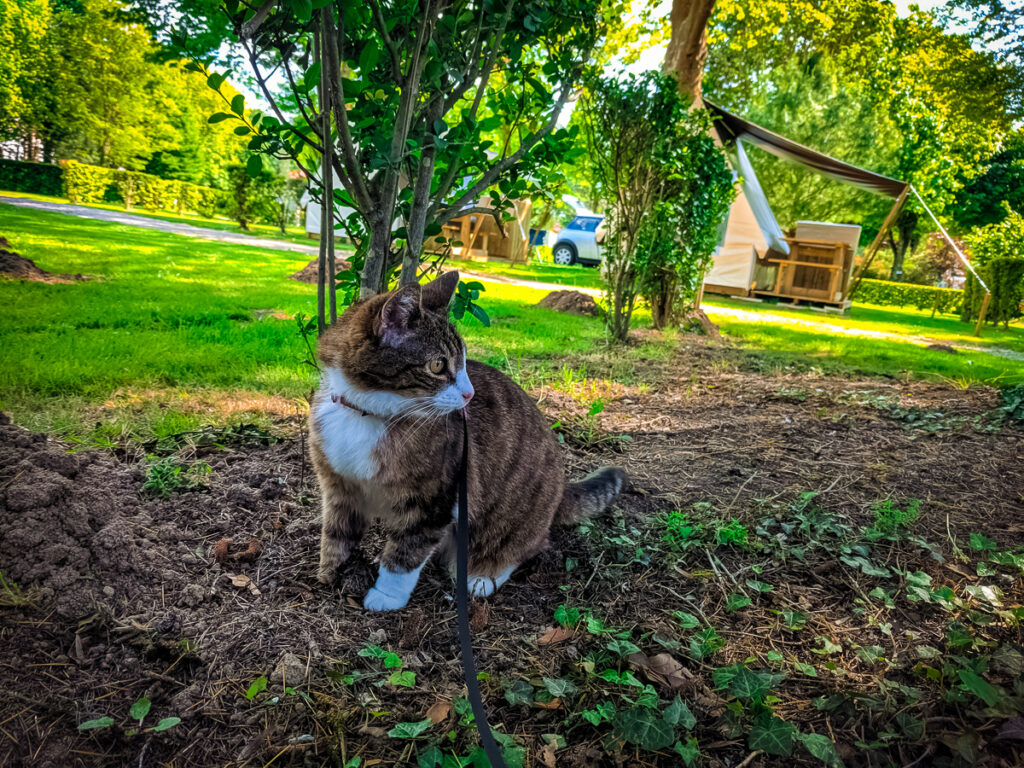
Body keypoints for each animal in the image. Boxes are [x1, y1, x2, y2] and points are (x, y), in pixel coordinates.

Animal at [307, 272, 622, 614]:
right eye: (437, 365)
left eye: (464, 362)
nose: (469, 394)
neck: (368, 414)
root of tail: (561, 488)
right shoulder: (339, 486)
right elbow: (336, 532)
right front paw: (331, 571)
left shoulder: (434, 500)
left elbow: (407, 552)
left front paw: (387, 595)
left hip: (509, 521)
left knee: (526, 545)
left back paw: (483, 576)